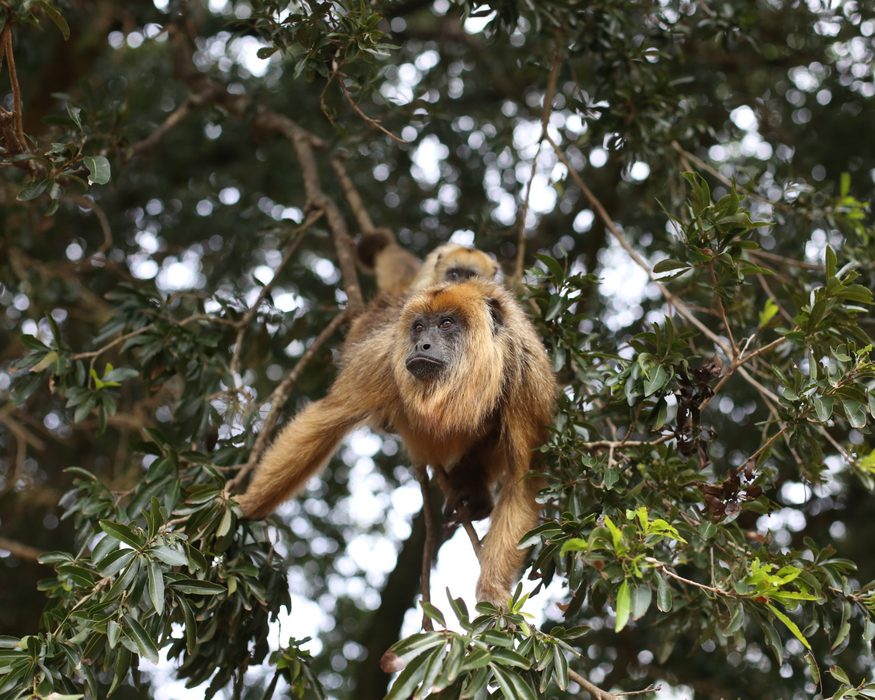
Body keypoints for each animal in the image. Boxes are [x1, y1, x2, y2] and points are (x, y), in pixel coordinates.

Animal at [236, 278, 556, 605]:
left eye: (446, 323)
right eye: (418, 327)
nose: (421, 344)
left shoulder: (527, 378)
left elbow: (523, 480)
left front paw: (491, 591)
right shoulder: (382, 358)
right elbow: (327, 418)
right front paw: (246, 506)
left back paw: (472, 488)